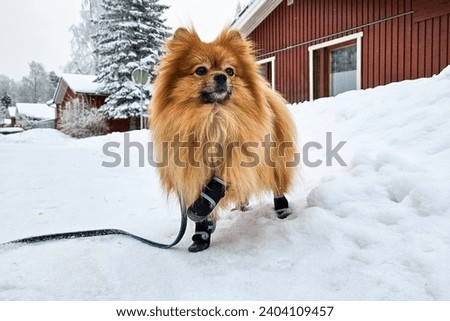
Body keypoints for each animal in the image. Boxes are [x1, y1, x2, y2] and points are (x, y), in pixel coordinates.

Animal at [149, 27, 298, 251]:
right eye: (201, 70)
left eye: (230, 71)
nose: (220, 77)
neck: (213, 118)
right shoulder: (190, 170)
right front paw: (201, 234)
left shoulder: (240, 154)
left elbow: (219, 181)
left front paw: (202, 209)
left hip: (275, 161)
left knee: (277, 184)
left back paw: (282, 209)